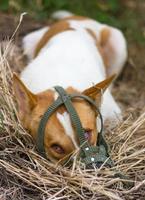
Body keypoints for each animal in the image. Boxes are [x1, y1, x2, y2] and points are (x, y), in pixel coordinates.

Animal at [13, 10, 127, 163]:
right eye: (56, 148)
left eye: (87, 133)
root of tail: (76, 17)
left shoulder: (114, 115)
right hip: (29, 40)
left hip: (118, 43)